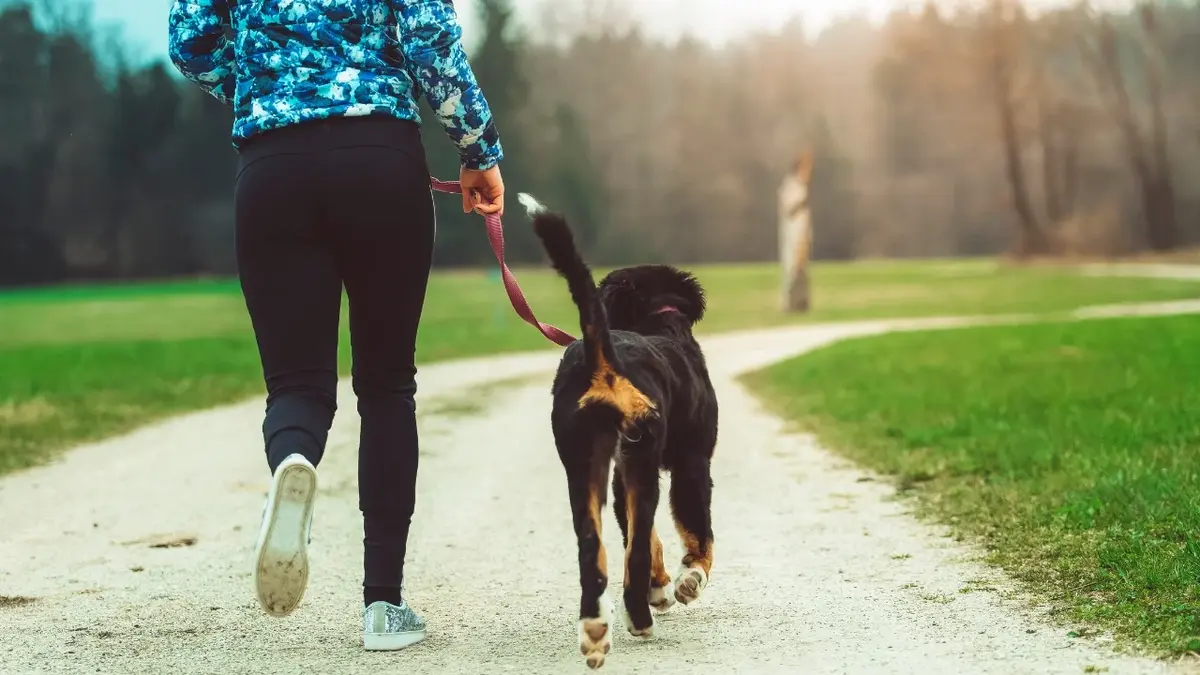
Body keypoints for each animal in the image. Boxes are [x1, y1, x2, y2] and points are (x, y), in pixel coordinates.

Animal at [520, 192, 715, 662]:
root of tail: (604, 356)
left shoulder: (618, 472)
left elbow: (640, 538)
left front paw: (662, 588)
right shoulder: (693, 462)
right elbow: (698, 535)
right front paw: (686, 582)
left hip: (584, 467)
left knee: (595, 550)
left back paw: (596, 627)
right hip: (643, 461)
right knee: (639, 548)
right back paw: (640, 619)